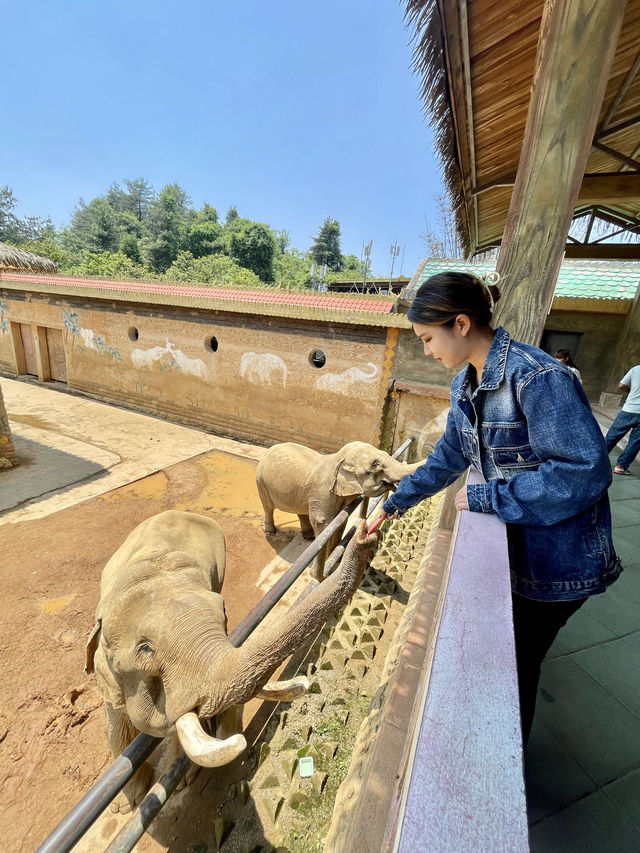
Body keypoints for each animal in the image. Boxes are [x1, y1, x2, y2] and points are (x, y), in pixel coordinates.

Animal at [84, 510, 376, 816]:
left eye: (223, 613)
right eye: (145, 648)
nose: (366, 532)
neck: (149, 566)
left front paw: (184, 780)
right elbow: (118, 723)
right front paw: (125, 806)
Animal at [255, 440, 420, 580]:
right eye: (375, 465)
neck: (337, 459)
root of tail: (270, 449)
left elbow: (340, 521)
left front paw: (336, 561)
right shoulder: (322, 493)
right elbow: (324, 525)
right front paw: (317, 573)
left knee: (301, 511)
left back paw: (308, 537)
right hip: (261, 482)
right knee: (268, 507)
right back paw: (271, 531)